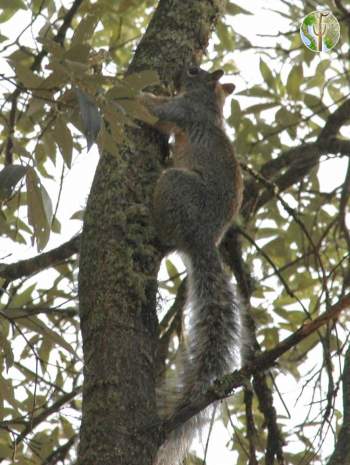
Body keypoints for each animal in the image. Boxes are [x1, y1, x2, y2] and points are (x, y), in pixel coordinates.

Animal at [137, 66, 243, 464]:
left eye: (196, 71)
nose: (182, 70)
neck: (209, 104)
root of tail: (202, 240)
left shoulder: (183, 112)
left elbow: (155, 111)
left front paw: (129, 89)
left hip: (177, 186)